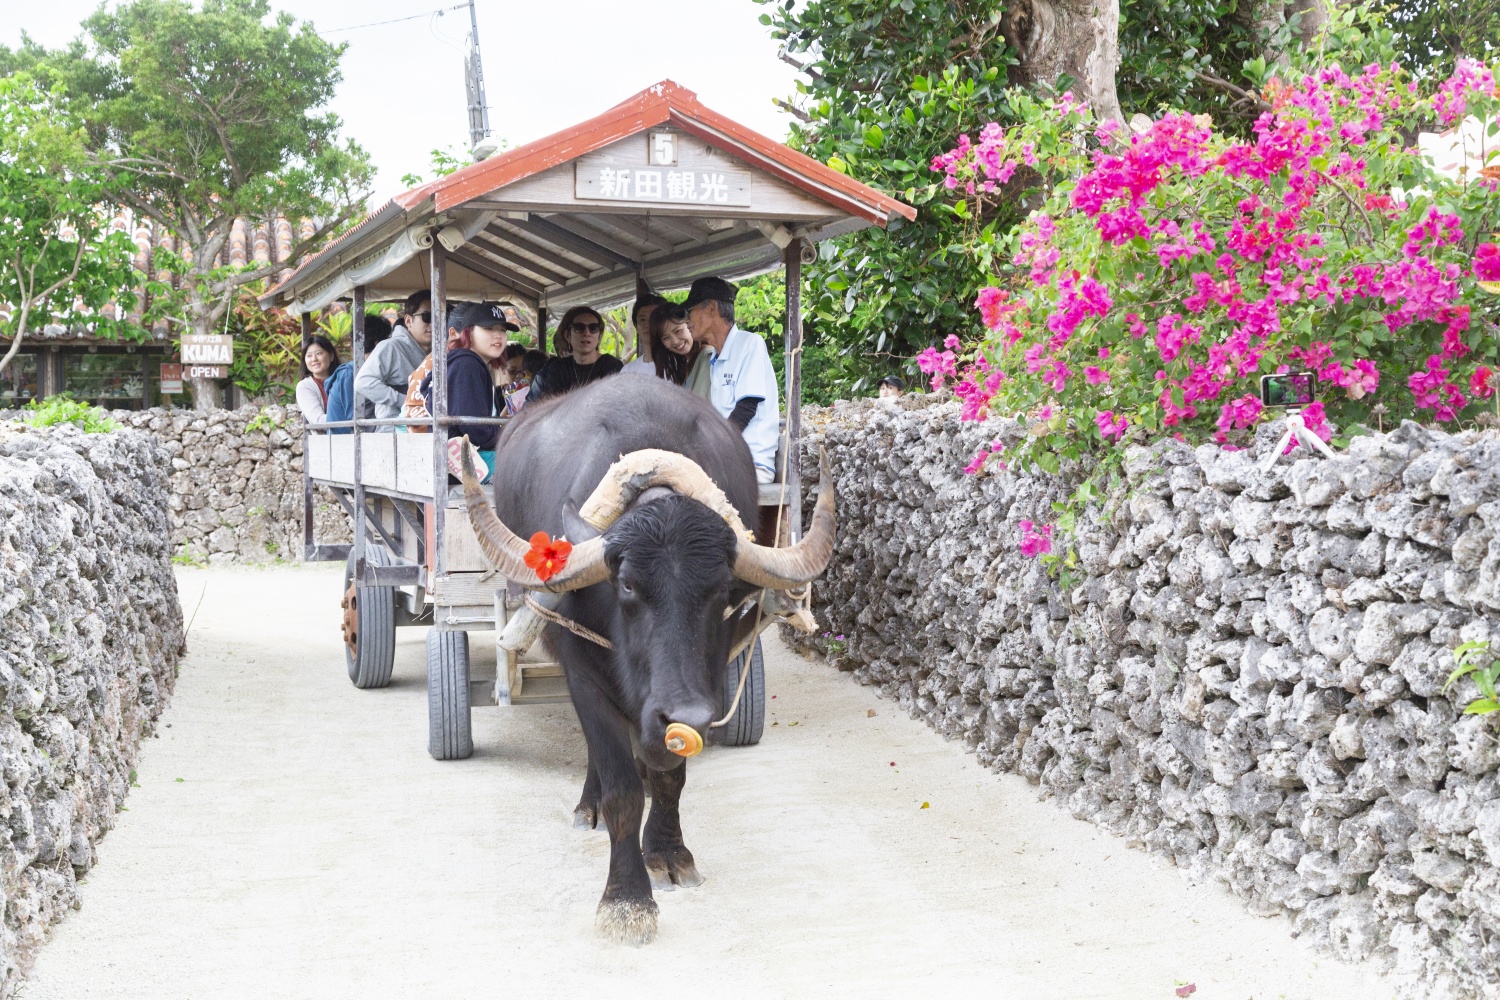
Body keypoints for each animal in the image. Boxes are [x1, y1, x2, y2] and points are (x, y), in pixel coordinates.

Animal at [456, 374, 834, 947]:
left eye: (720, 590)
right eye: (628, 585)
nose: (684, 715)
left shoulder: (703, 685)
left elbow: (668, 778)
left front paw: (669, 854)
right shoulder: (583, 671)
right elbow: (623, 790)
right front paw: (626, 900)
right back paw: (587, 805)